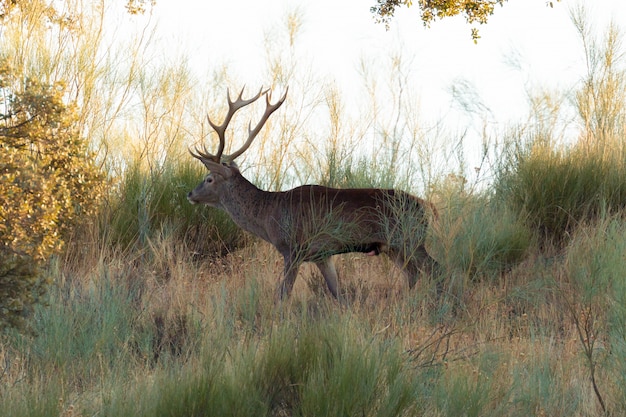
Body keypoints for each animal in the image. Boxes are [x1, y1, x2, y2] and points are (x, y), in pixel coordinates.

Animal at [188, 86, 436, 300]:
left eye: (209, 179)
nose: (190, 194)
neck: (268, 215)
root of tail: (426, 207)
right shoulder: (322, 256)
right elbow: (338, 294)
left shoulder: (293, 249)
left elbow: (283, 295)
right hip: (393, 247)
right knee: (413, 274)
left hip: (409, 239)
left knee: (435, 269)